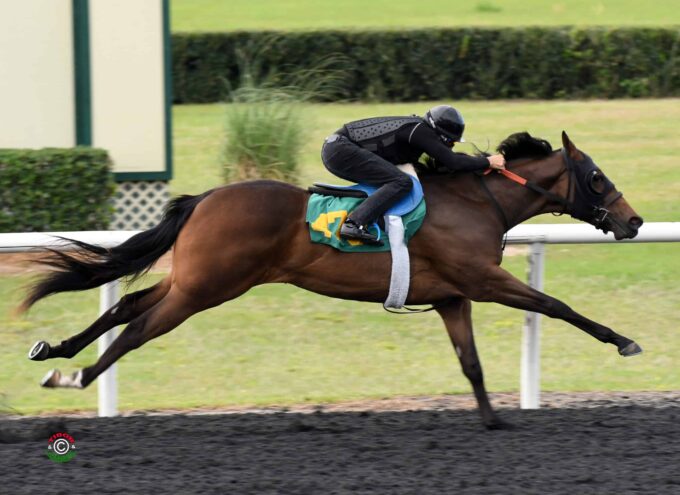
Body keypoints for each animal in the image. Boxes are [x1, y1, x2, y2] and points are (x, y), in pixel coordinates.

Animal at [23, 133, 644, 430]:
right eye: (596, 177)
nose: (634, 221)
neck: (478, 204)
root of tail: (205, 199)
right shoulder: (483, 279)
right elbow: (555, 304)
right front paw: (623, 340)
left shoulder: (451, 297)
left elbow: (471, 362)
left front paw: (492, 420)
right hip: (206, 288)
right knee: (138, 329)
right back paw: (77, 376)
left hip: (196, 280)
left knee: (125, 305)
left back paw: (54, 352)